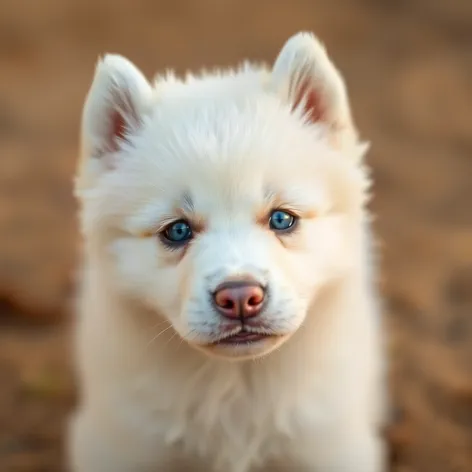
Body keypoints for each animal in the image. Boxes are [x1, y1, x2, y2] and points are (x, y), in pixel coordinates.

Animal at [69, 31, 388, 470]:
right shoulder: (122, 446)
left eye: (282, 219)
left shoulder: (328, 446)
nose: (239, 297)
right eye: (177, 230)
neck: (235, 385)